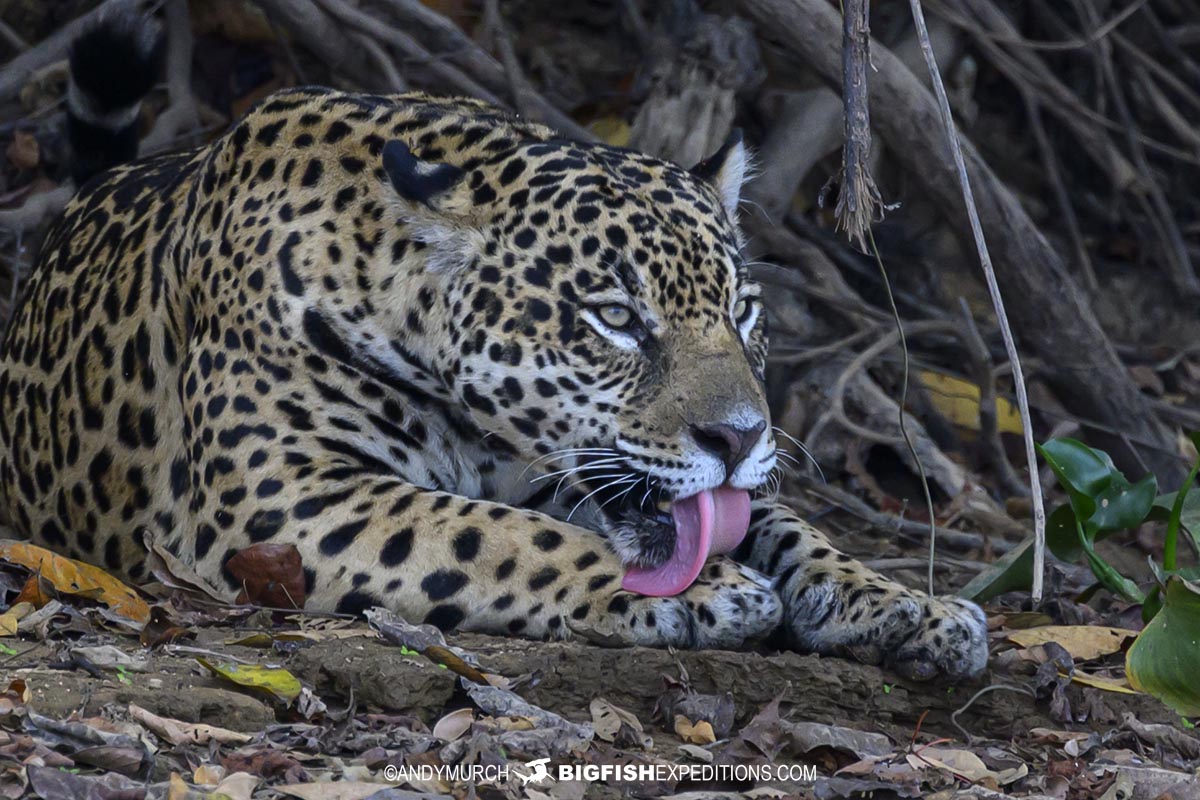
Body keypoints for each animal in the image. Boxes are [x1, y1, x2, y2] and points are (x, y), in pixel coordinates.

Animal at [0, 9, 987, 680]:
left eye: (741, 313)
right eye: (616, 318)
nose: (740, 438)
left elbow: (792, 529)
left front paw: (908, 604)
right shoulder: (276, 499)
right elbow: (495, 533)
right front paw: (700, 590)